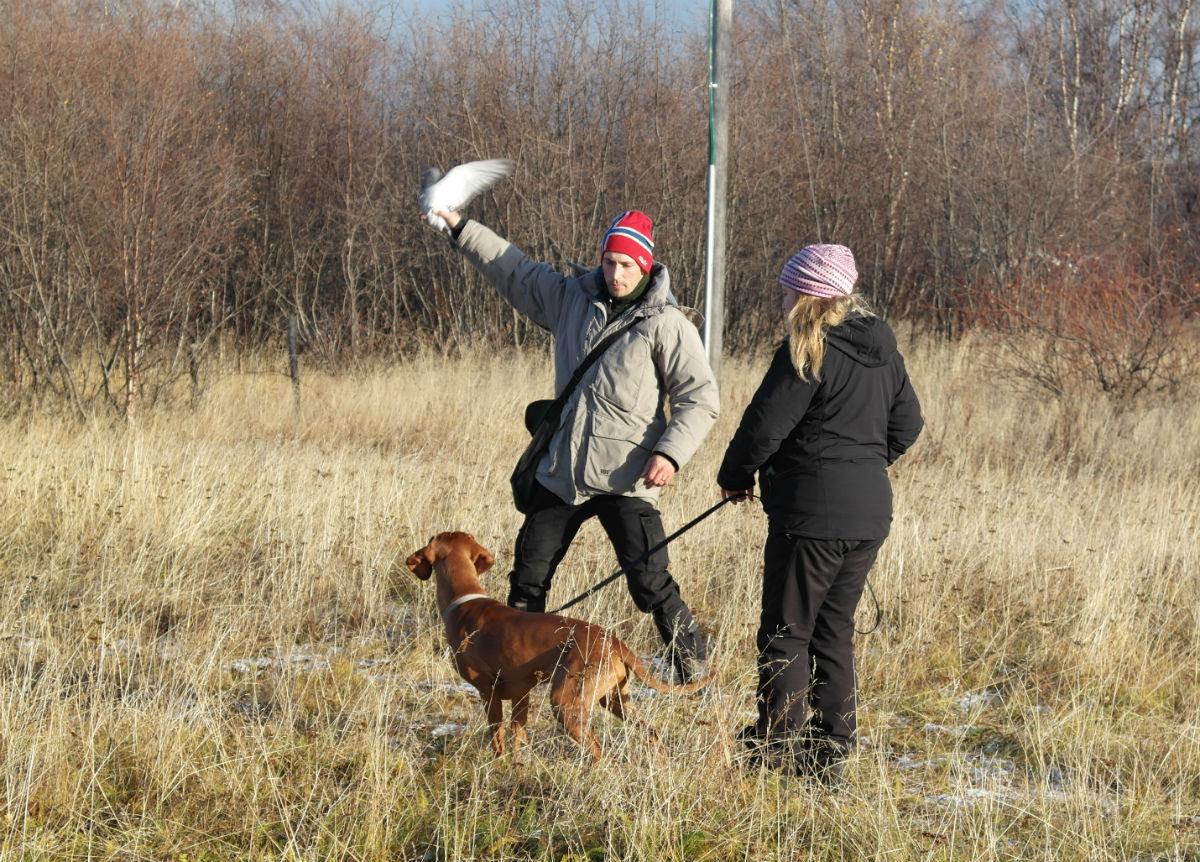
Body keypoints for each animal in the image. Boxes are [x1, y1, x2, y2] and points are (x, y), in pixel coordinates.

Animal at [408, 530, 710, 758]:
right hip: (616, 700)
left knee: (597, 748)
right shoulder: (521, 694)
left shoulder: (488, 692)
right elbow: (518, 735)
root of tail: (612, 640)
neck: (465, 600)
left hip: (566, 702)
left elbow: (497, 737)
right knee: (651, 731)